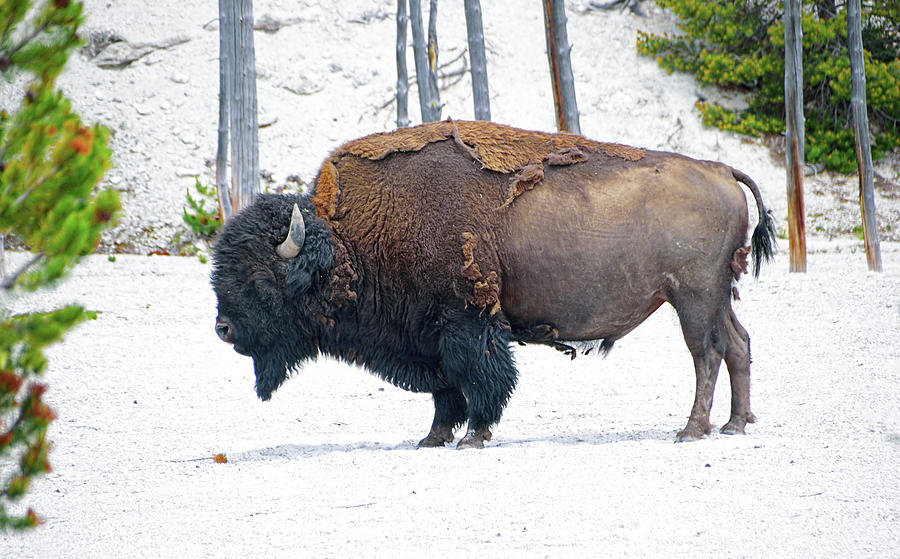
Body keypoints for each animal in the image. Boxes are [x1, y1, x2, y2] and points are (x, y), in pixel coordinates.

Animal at [211, 120, 772, 448]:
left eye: (261, 280)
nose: (223, 329)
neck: (348, 241)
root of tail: (721, 170)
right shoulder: (427, 334)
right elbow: (444, 390)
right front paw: (432, 439)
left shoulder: (465, 321)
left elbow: (478, 378)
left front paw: (473, 437)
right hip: (715, 295)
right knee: (739, 343)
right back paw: (736, 424)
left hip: (691, 296)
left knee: (706, 352)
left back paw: (692, 430)